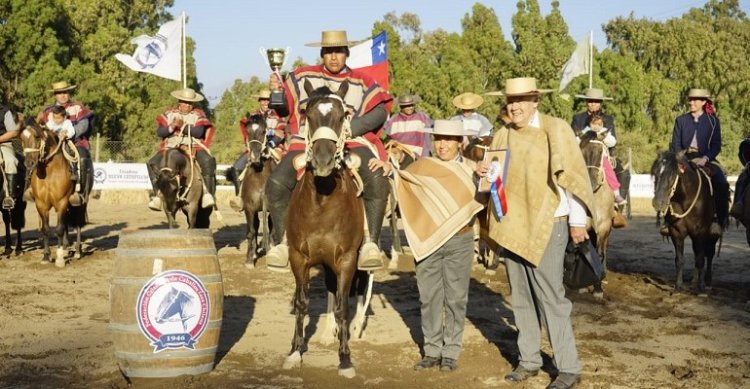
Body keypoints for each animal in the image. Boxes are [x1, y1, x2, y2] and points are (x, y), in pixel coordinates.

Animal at [19, 116, 88, 266]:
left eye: (37, 136)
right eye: (21, 138)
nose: (29, 164)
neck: (50, 173)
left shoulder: (61, 202)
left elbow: (59, 229)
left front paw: (60, 258)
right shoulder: (41, 204)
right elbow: (46, 229)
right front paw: (46, 256)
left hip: (80, 202)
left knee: (78, 223)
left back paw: (77, 251)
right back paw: (67, 248)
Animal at [280, 79, 366, 376]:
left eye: (342, 117)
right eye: (308, 115)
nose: (323, 162)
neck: (322, 202)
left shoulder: (347, 260)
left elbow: (343, 307)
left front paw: (345, 358)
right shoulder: (299, 258)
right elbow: (302, 302)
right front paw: (295, 350)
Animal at [652, 150, 724, 290]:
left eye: (672, 175)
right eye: (655, 173)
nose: (658, 203)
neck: (684, 199)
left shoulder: (701, 232)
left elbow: (701, 259)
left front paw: (701, 286)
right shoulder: (677, 232)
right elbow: (679, 259)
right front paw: (678, 286)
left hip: (711, 234)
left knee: (709, 254)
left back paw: (707, 281)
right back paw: (694, 280)